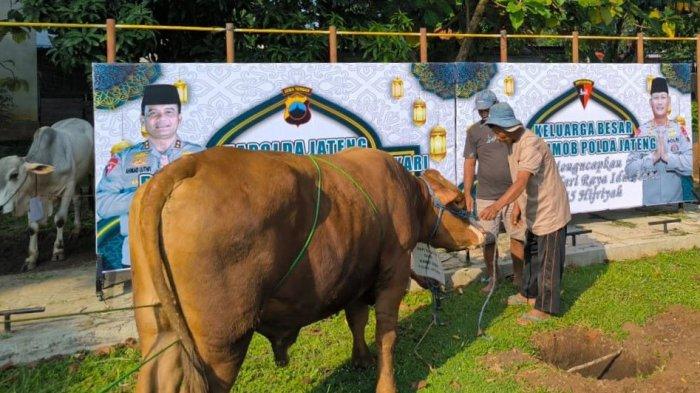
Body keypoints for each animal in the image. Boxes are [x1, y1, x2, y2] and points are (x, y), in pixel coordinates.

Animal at [0, 118, 93, 268]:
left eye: (14, 175)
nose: (0, 207)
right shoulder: (32, 195)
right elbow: (32, 226)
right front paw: (31, 258)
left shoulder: (68, 186)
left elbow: (59, 219)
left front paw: (58, 251)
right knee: (77, 199)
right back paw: (76, 230)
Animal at [130, 147, 482, 392]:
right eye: (459, 203)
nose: (483, 234)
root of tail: (192, 165)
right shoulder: (392, 272)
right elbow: (386, 334)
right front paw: (386, 383)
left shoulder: (356, 273)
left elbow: (356, 319)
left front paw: (361, 359)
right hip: (221, 342)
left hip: (159, 329)